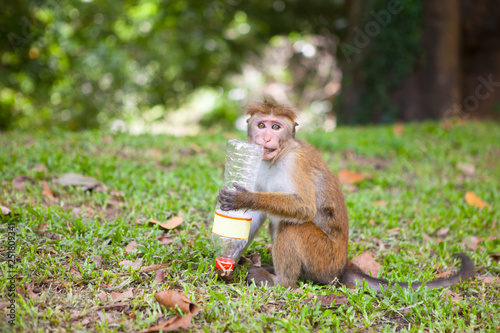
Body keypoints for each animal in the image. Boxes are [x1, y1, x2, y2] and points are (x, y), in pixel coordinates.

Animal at [217, 98, 474, 290]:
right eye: (262, 125)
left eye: (276, 127)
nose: (266, 138)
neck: (278, 156)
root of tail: (342, 265)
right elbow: (256, 217)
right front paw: (229, 257)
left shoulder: (295, 162)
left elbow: (304, 208)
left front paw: (245, 198)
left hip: (323, 258)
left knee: (292, 227)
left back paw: (281, 281)